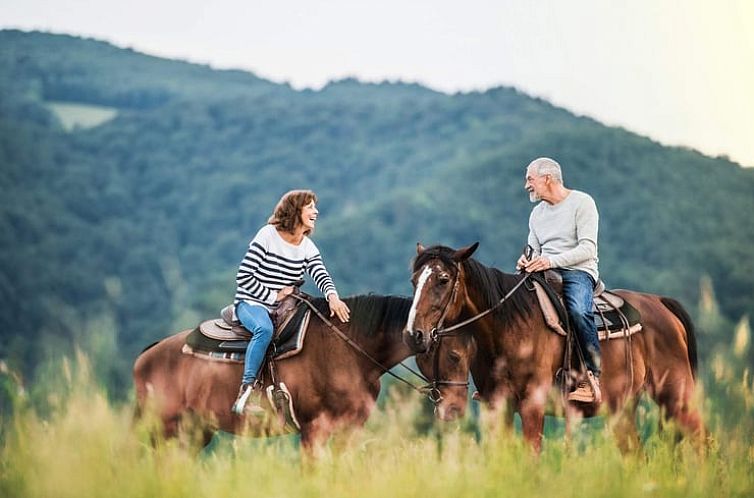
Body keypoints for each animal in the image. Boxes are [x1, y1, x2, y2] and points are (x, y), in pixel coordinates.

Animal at [137, 294, 418, 454]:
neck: (349, 349)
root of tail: (146, 356)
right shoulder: (314, 429)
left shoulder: (350, 430)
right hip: (164, 430)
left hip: (195, 431)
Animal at [402, 243, 704, 454]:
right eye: (414, 281)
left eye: (443, 279)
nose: (413, 334)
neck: (508, 328)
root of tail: (660, 303)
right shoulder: (497, 407)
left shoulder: (532, 406)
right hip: (622, 410)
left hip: (677, 398)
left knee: (702, 442)